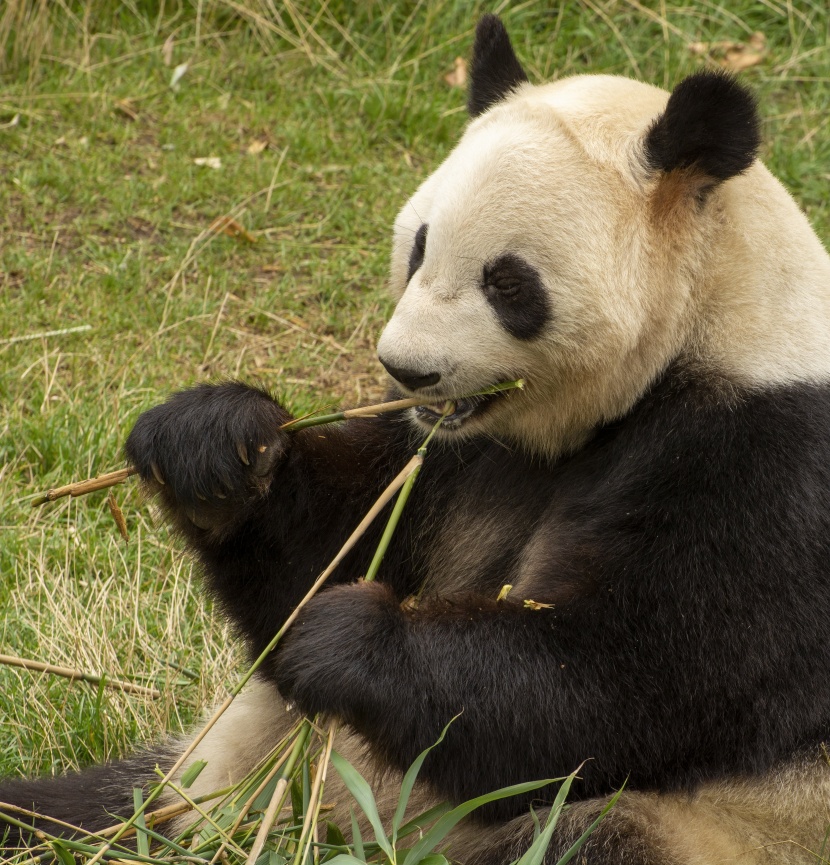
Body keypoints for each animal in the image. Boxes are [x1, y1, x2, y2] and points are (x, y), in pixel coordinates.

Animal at [4, 13, 830, 864]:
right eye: (420, 245)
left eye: (509, 282)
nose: (405, 369)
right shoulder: (455, 456)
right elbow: (338, 538)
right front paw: (213, 448)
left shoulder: (761, 461)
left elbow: (622, 685)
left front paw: (346, 639)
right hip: (221, 770)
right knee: (117, 800)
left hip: (739, 824)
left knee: (592, 831)